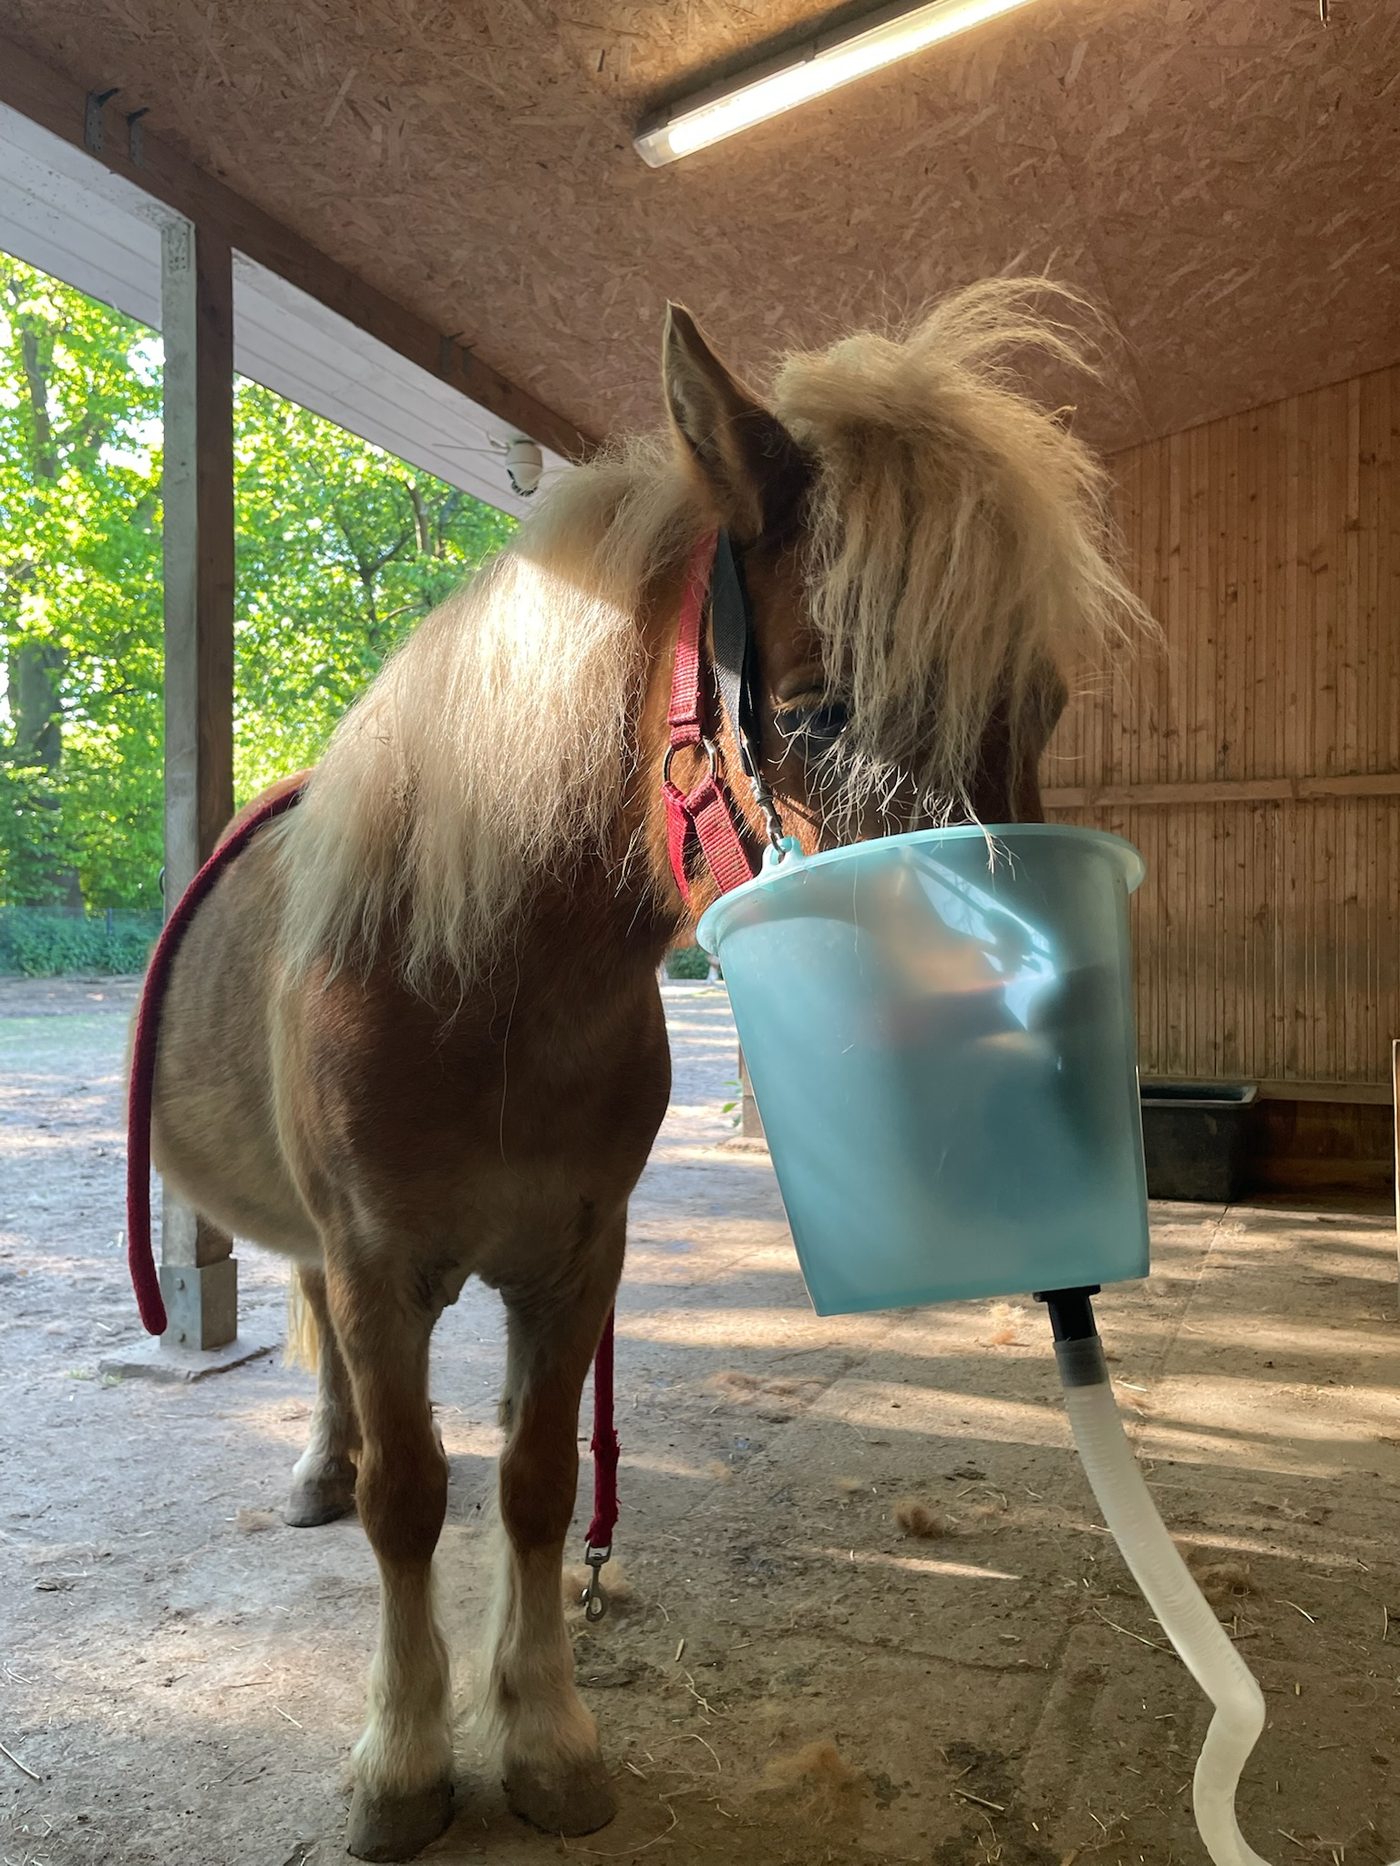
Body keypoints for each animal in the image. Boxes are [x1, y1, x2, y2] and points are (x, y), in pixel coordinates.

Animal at [136, 280, 1147, 1862]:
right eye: (815, 712)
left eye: (1035, 709)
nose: (1021, 1040)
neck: (477, 991)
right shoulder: (378, 1262)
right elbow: (413, 1500)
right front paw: (402, 1760)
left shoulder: (575, 1260)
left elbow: (540, 1484)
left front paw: (545, 1737)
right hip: (323, 1249)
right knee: (325, 1353)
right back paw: (318, 1471)